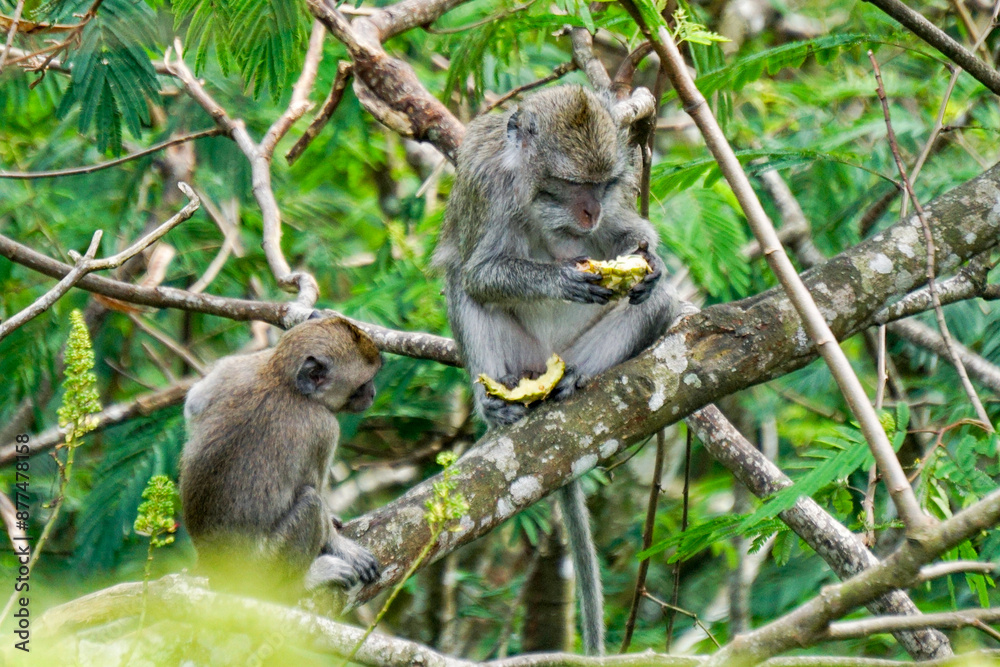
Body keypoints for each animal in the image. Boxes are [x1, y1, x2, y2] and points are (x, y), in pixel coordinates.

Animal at [179, 315, 382, 600]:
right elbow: (316, 489)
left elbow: (193, 405)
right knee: (310, 502)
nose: (372, 393)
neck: (281, 379)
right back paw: (302, 581)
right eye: (363, 384)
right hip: (263, 566)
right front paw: (340, 545)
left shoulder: (236, 365)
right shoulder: (324, 428)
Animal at [435, 85, 679, 655]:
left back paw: (572, 378)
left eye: (601, 184)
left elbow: (629, 234)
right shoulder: (487, 186)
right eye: (571, 185)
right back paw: (498, 407)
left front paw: (651, 262)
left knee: (660, 305)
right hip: (517, 354)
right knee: (462, 281)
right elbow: (480, 272)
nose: (590, 211)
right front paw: (559, 279)